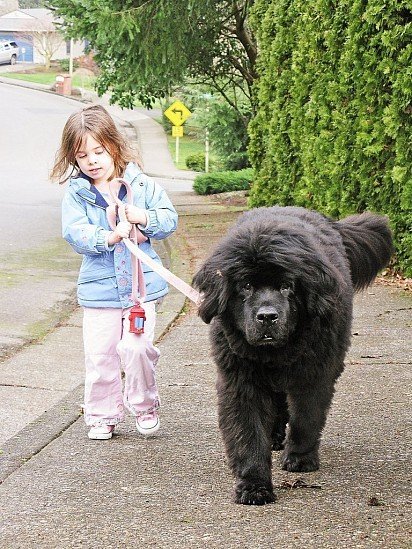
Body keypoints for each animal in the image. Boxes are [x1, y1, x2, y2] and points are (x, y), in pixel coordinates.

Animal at [193, 206, 392, 506]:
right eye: (246, 285)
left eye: (287, 286)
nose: (267, 316)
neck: (275, 353)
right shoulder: (241, 380)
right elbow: (247, 432)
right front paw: (254, 485)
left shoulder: (315, 372)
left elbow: (306, 417)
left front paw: (300, 457)